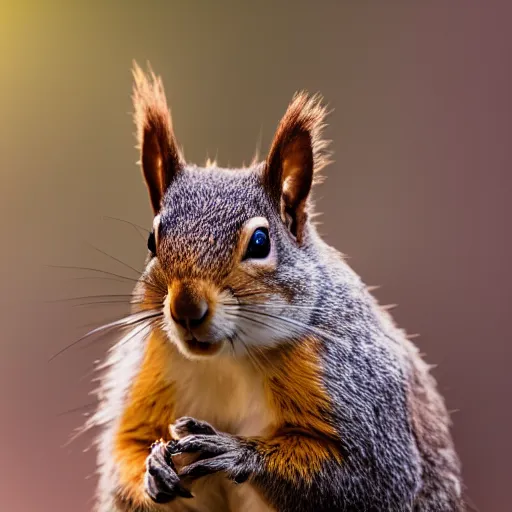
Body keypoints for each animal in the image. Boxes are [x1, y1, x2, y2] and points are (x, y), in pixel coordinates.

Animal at [87, 63, 464, 512]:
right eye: (151, 241)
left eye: (260, 242)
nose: (186, 310)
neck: (228, 361)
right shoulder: (152, 365)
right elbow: (126, 452)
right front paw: (152, 465)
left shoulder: (352, 382)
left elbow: (368, 478)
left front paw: (237, 451)